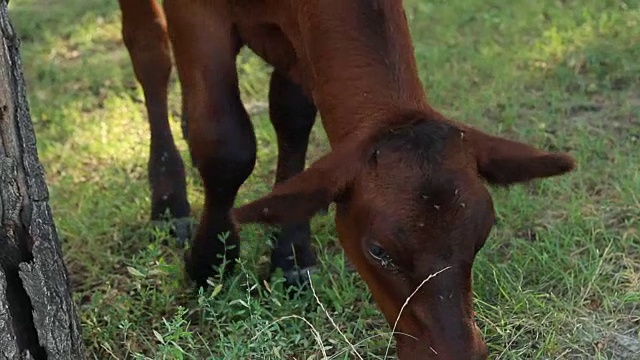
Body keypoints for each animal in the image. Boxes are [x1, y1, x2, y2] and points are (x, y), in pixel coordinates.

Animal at [117, 1, 576, 358]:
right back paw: (169, 201)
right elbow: (225, 143)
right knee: (149, 52)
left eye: (480, 238)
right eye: (378, 251)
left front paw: (291, 254)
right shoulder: (195, 13)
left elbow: (293, 115)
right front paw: (210, 261)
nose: (457, 354)